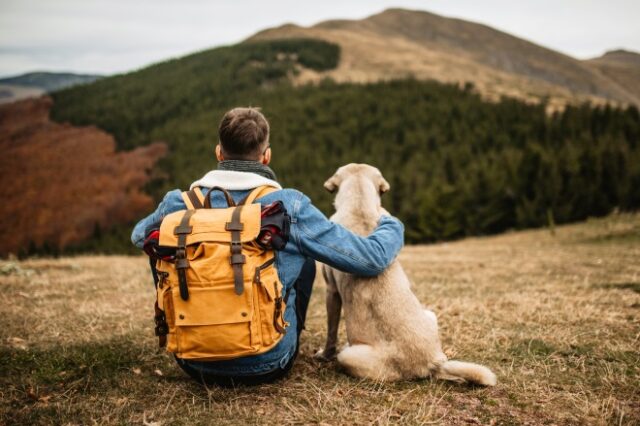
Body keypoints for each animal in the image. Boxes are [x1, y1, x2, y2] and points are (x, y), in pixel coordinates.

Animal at [316, 164, 496, 386]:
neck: (360, 205)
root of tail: (430, 362)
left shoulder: (331, 291)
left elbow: (331, 331)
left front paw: (324, 354)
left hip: (348, 355)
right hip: (430, 315)